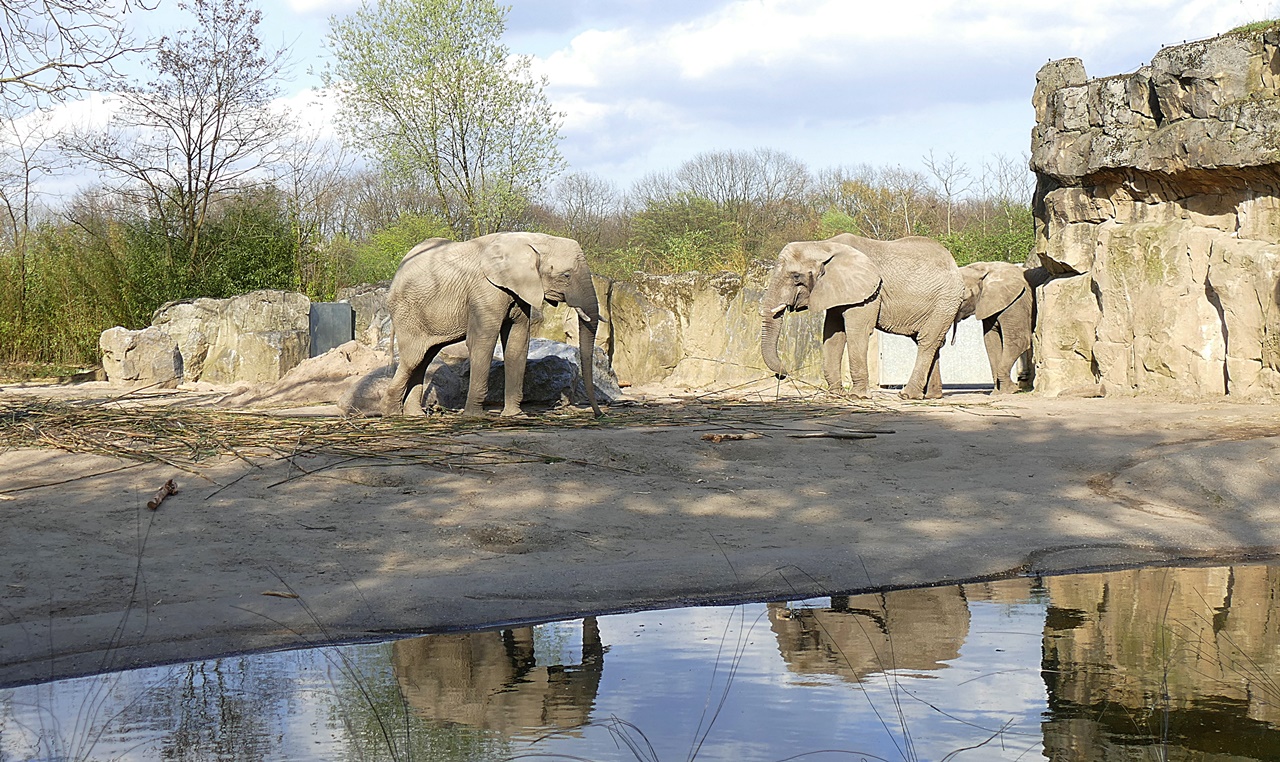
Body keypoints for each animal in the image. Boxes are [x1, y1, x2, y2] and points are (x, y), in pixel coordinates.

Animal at [381, 235, 601, 420]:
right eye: (566, 275)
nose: (599, 414)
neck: (531, 240)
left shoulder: (519, 292)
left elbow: (517, 341)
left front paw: (516, 415)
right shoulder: (485, 290)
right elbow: (482, 340)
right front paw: (475, 416)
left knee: (424, 358)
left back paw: (414, 415)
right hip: (408, 313)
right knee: (413, 358)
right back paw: (393, 414)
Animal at [757, 233, 962, 399]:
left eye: (796, 277)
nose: (783, 374)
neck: (823, 245)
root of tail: (953, 263)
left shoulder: (869, 293)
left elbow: (857, 331)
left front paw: (858, 397)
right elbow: (833, 334)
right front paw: (835, 395)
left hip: (945, 302)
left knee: (927, 341)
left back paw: (907, 395)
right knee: (929, 341)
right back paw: (932, 396)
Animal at [957, 261, 1034, 394]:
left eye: (963, 297)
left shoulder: (1017, 301)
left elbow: (1019, 340)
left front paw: (1010, 390)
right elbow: (991, 342)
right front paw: (998, 392)